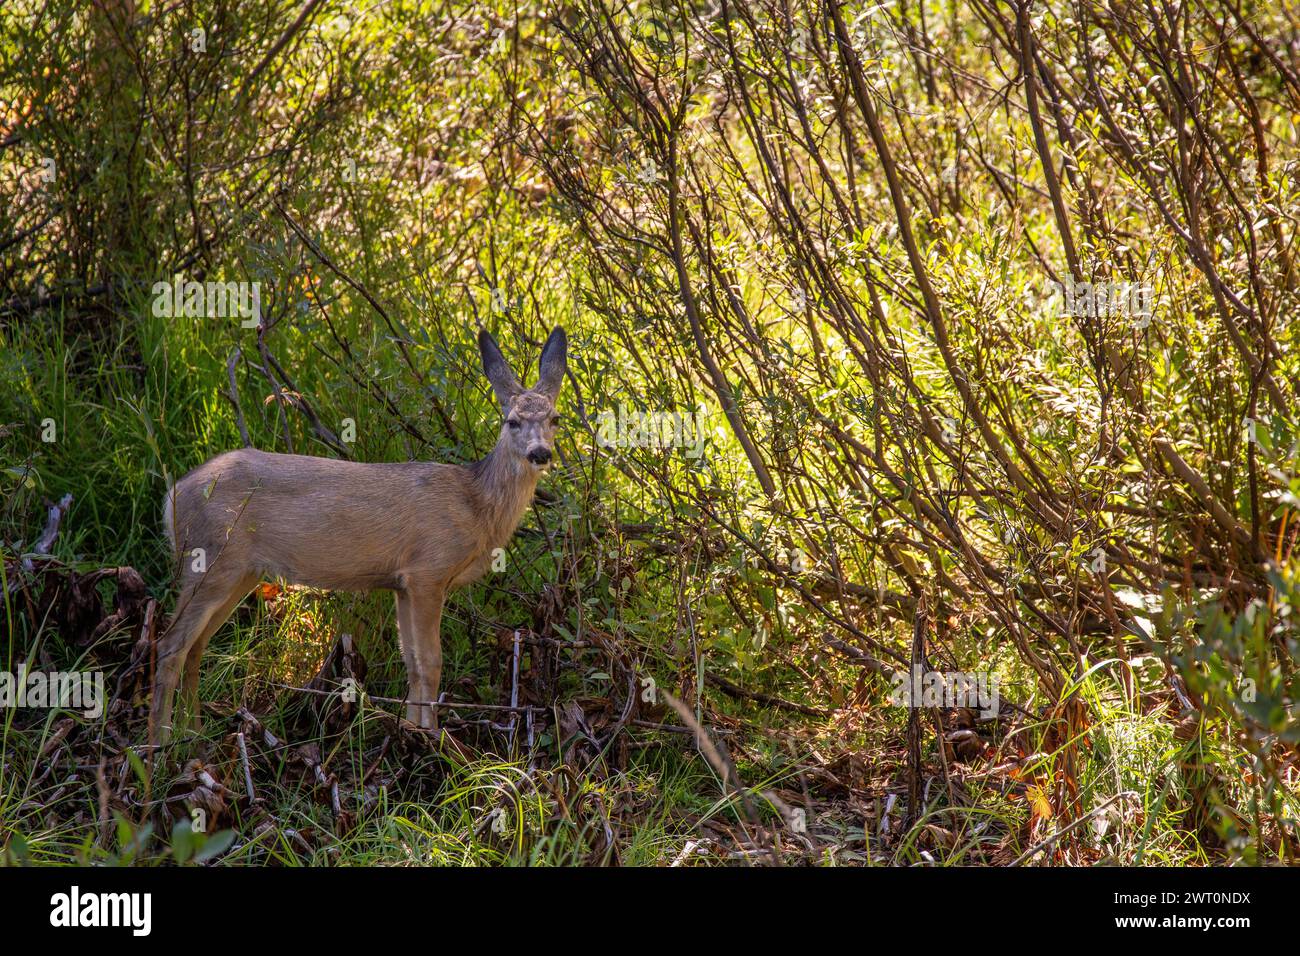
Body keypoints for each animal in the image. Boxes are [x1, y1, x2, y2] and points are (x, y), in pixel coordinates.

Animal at [149, 327, 567, 750]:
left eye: (555, 418)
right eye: (511, 421)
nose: (540, 453)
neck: (476, 505)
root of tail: (172, 497)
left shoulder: (402, 582)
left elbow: (411, 661)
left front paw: (411, 731)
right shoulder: (427, 571)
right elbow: (431, 661)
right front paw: (433, 739)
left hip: (240, 571)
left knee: (195, 646)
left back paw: (193, 734)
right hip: (210, 557)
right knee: (169, 644)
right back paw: (159, 745)